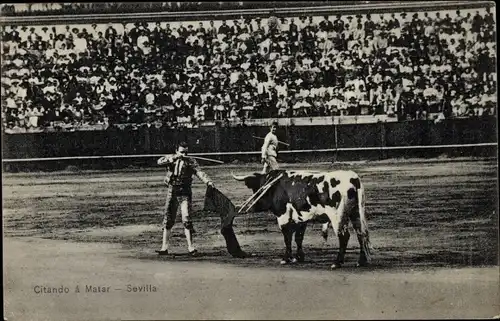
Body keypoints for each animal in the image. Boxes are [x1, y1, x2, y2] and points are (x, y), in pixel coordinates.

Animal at [231, 169, 372, 268]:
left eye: (258, 188)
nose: (253, 206)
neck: (275, 186)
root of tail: (353, 178)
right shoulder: (301, 219)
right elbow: (298, 237)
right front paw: (299, 257)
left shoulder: (283, 216)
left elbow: (287, 238)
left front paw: (286, 258)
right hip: (355, 213)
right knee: (361, 234)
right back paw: (361, 261)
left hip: (338, 217)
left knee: (344, 236)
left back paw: (337, 263)